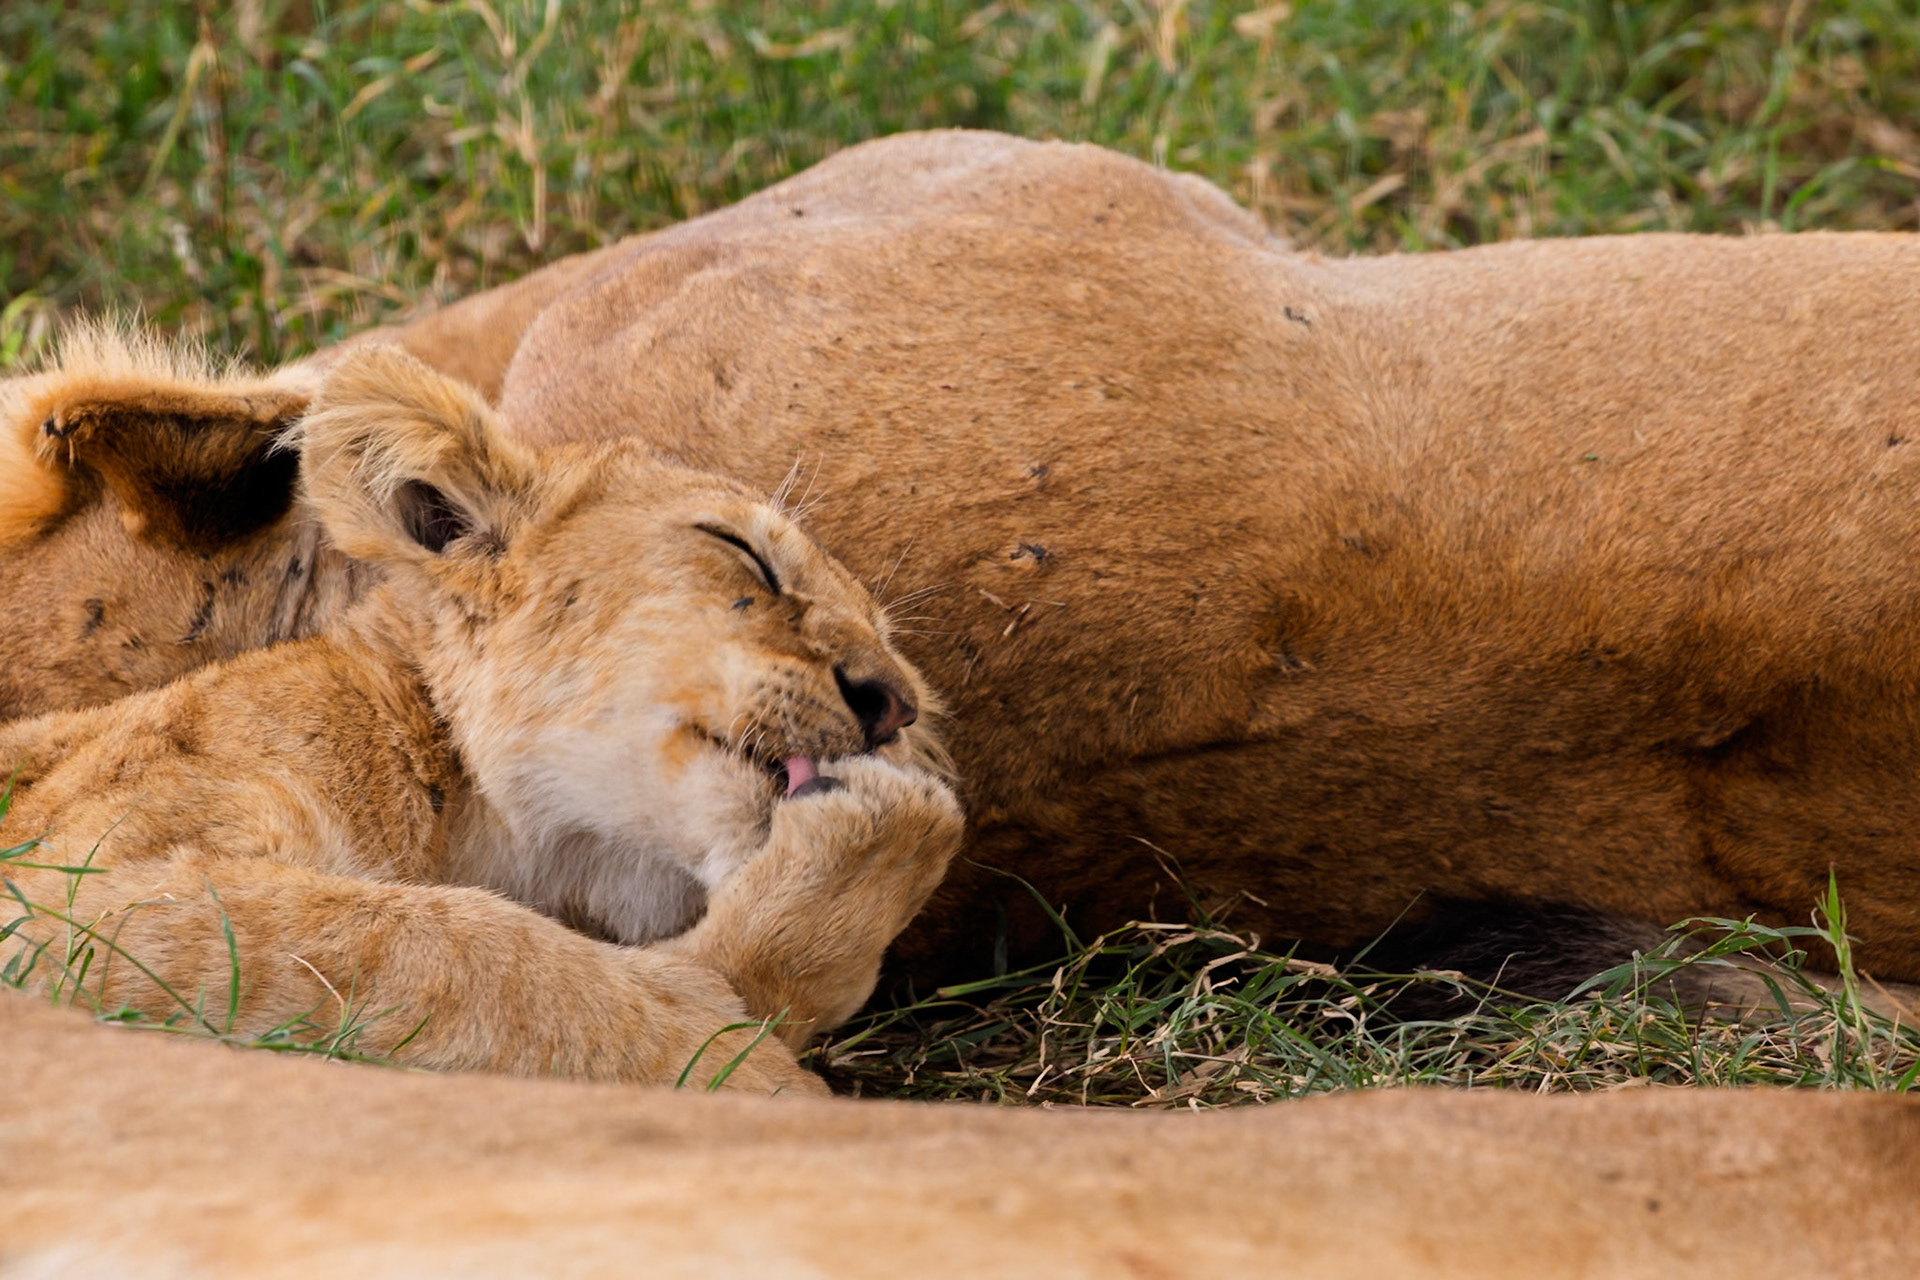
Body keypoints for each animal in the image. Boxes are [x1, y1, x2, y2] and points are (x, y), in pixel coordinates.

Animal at [0, 337, 962, 1091]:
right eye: (743, 553)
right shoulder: (61, 889)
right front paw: (749, 1068)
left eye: (888, 638)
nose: (894, 706)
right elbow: (459, 947)